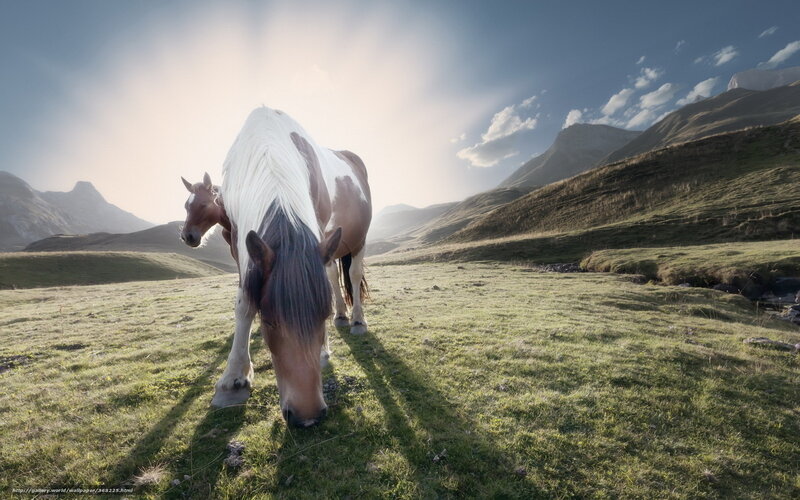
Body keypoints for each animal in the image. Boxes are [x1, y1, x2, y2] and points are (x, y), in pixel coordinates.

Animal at [205, 107, 371, 427]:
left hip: (358, 240)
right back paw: (343, 316)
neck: (268, 151)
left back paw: (357, 320)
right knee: (332, 275)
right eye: (268, 321)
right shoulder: (237, 240)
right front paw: (233, 379)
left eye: (320, 317)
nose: (307, 417)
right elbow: (245, 302)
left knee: (353, 275)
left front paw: (323, 350)